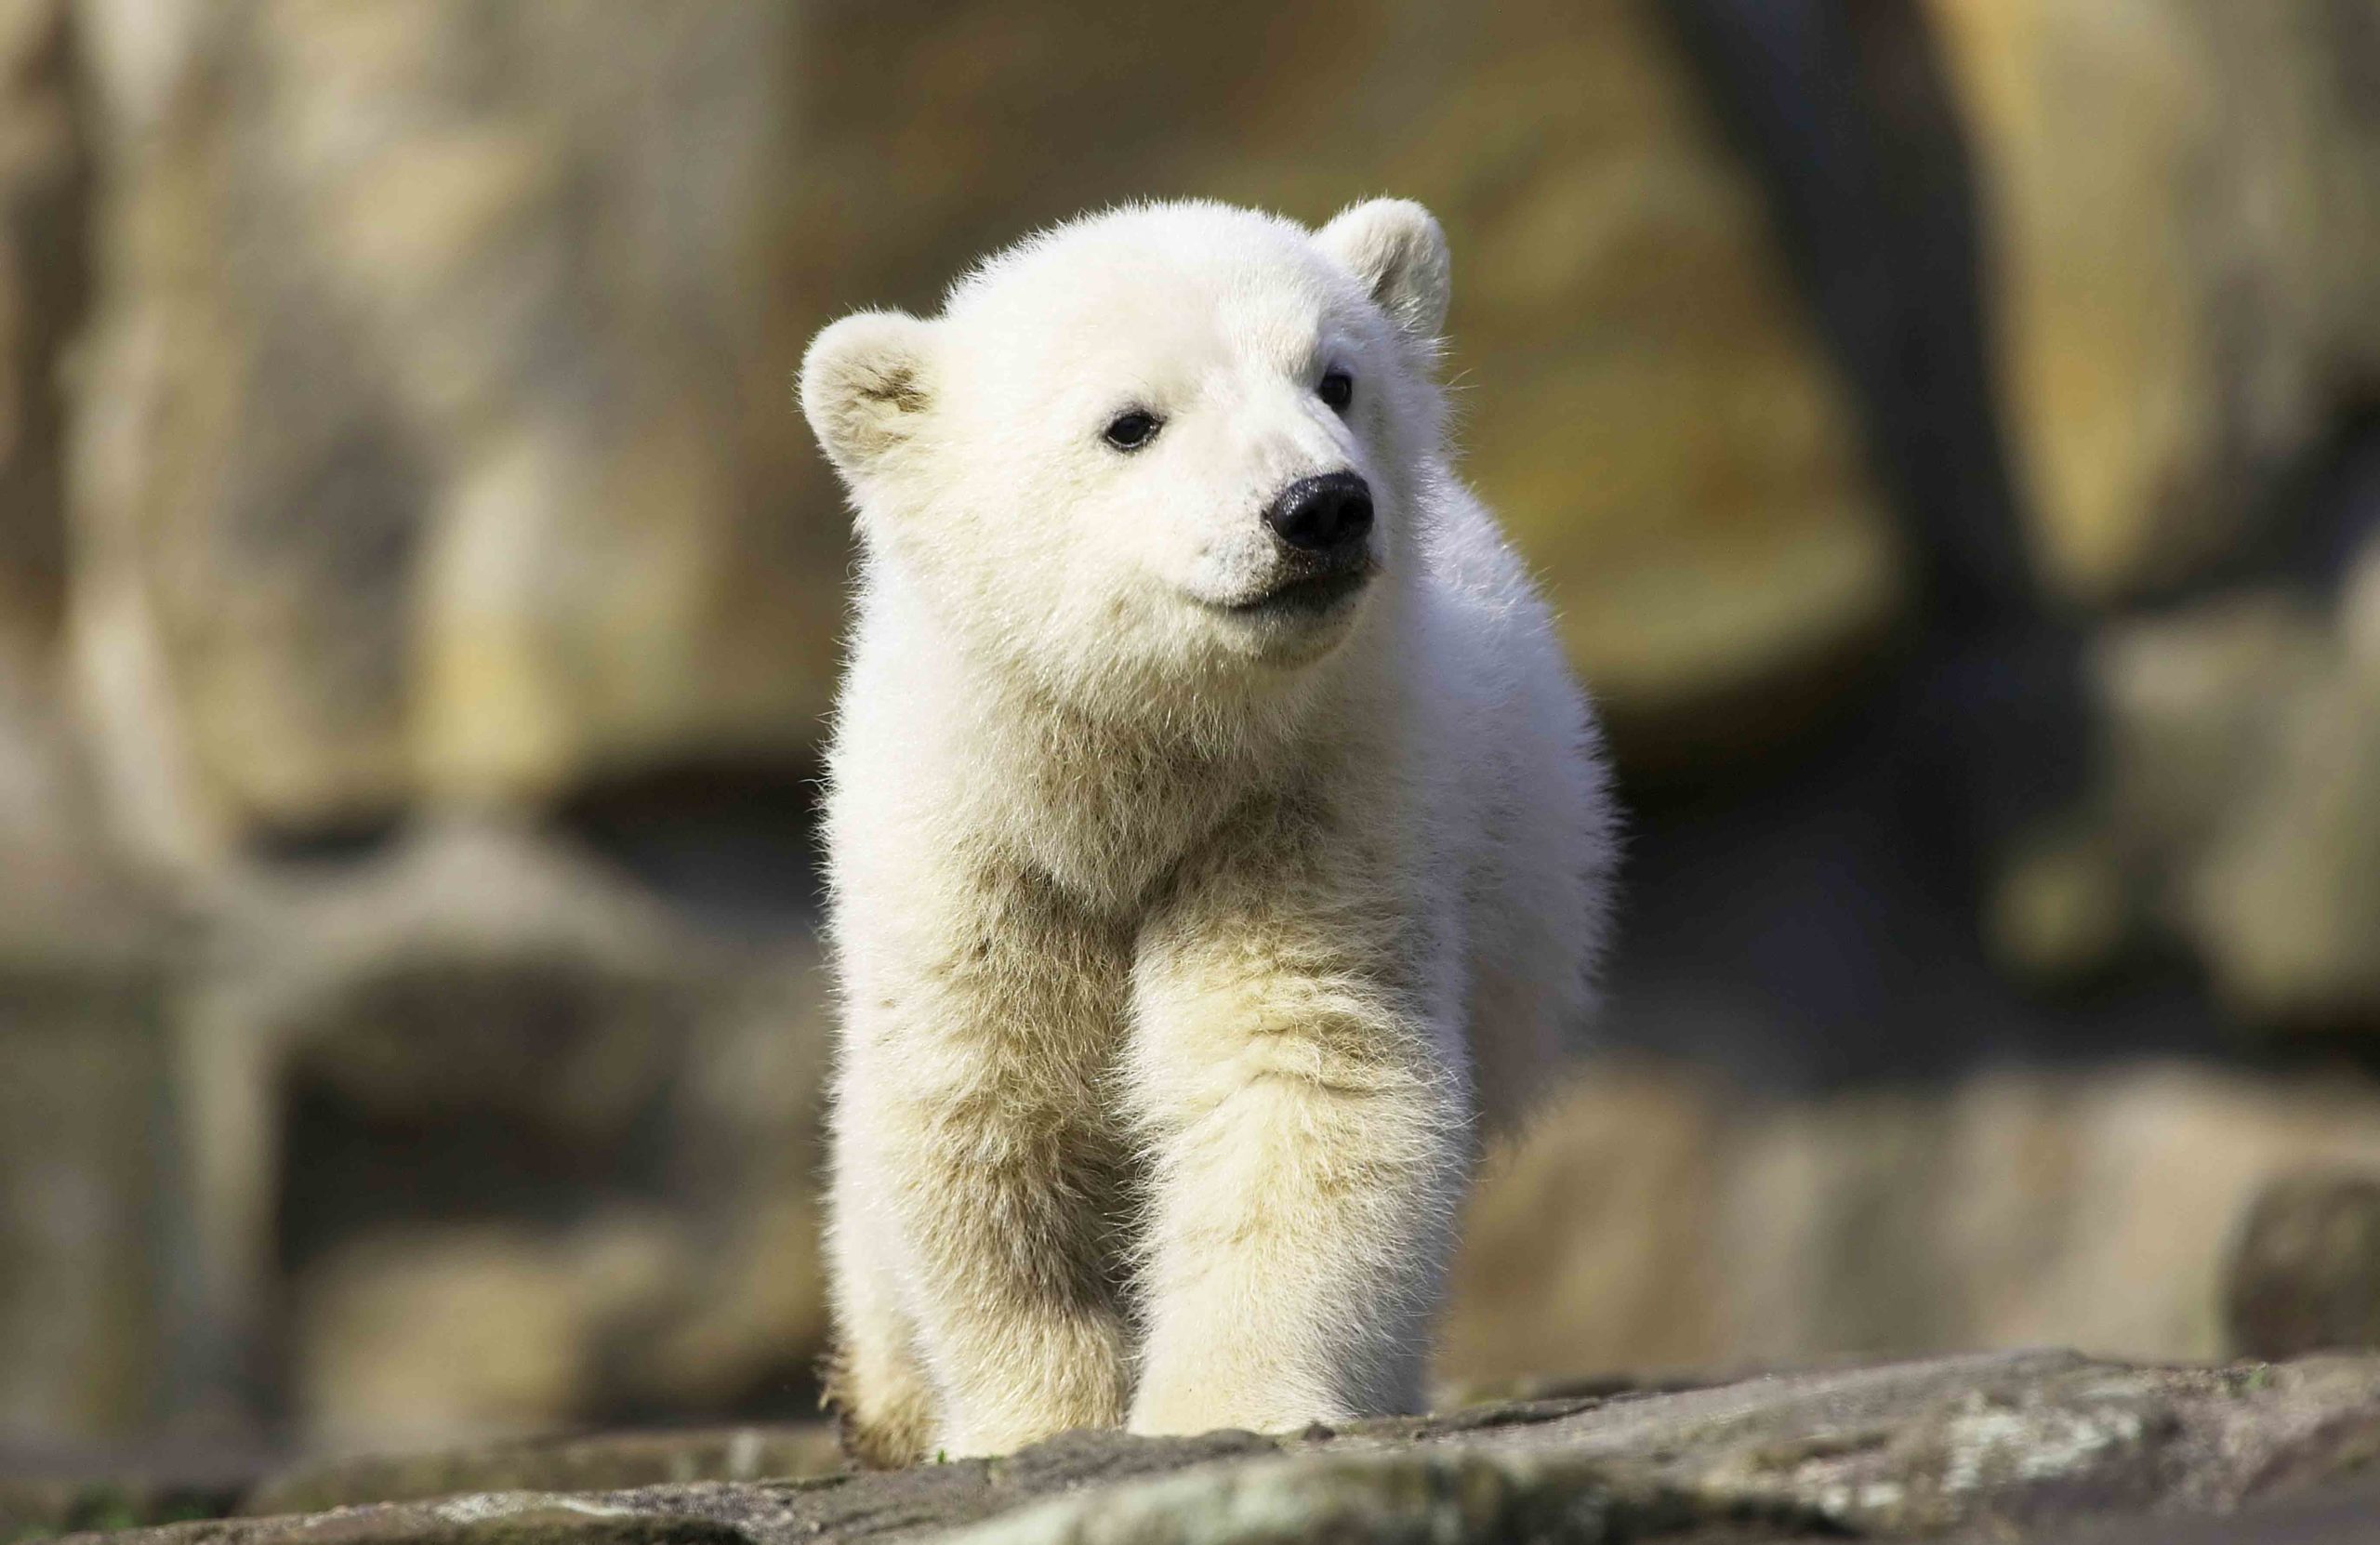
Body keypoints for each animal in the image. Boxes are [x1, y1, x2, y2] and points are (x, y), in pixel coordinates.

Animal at [797, 197, 1615, 1466]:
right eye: (1129, 423)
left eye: (1335, 377)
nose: (1319, 506)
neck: (1133, 776)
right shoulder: (969, 852)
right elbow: (983, 1103)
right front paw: (1030, 1423)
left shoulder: (1314, 808)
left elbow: (1294, 1075)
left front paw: (1227, 1404)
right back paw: (883, 1399)